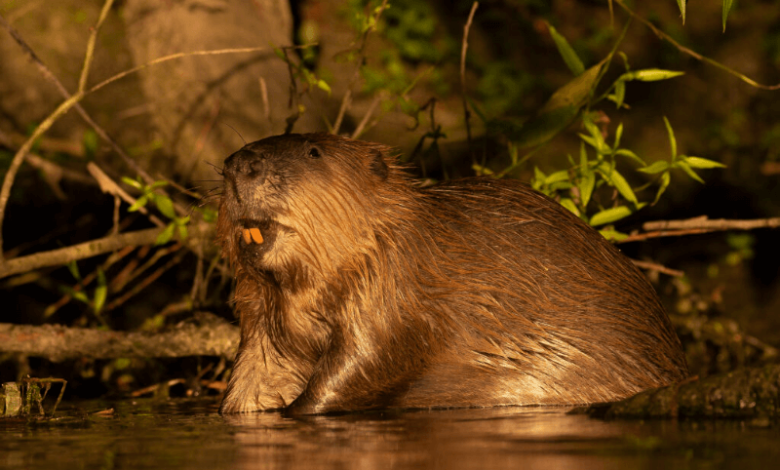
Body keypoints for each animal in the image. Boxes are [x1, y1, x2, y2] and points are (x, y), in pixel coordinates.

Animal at [216, 132, 684, 414]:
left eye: (313, 152)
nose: (241, 164)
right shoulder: (261, 316)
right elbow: (254, 372)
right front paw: (239, 408)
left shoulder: (394, 284)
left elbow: (364, 359)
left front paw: (296, 410)